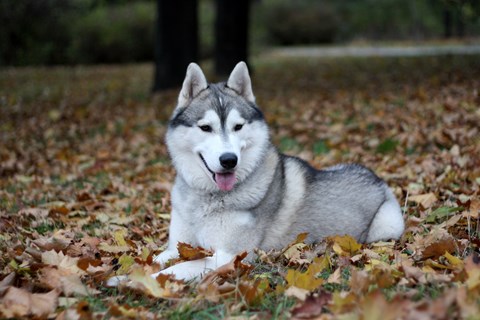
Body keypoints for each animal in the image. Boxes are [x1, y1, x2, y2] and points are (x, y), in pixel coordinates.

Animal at [151, 60, 404, 280]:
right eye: (205, 127)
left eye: (238, 126)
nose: (229, 160)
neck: (208, 198)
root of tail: (376, 177)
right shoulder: (176, 246)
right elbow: (157, 258)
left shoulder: (230, 256)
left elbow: (182, 266)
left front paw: (145, 281)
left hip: (387, 225)